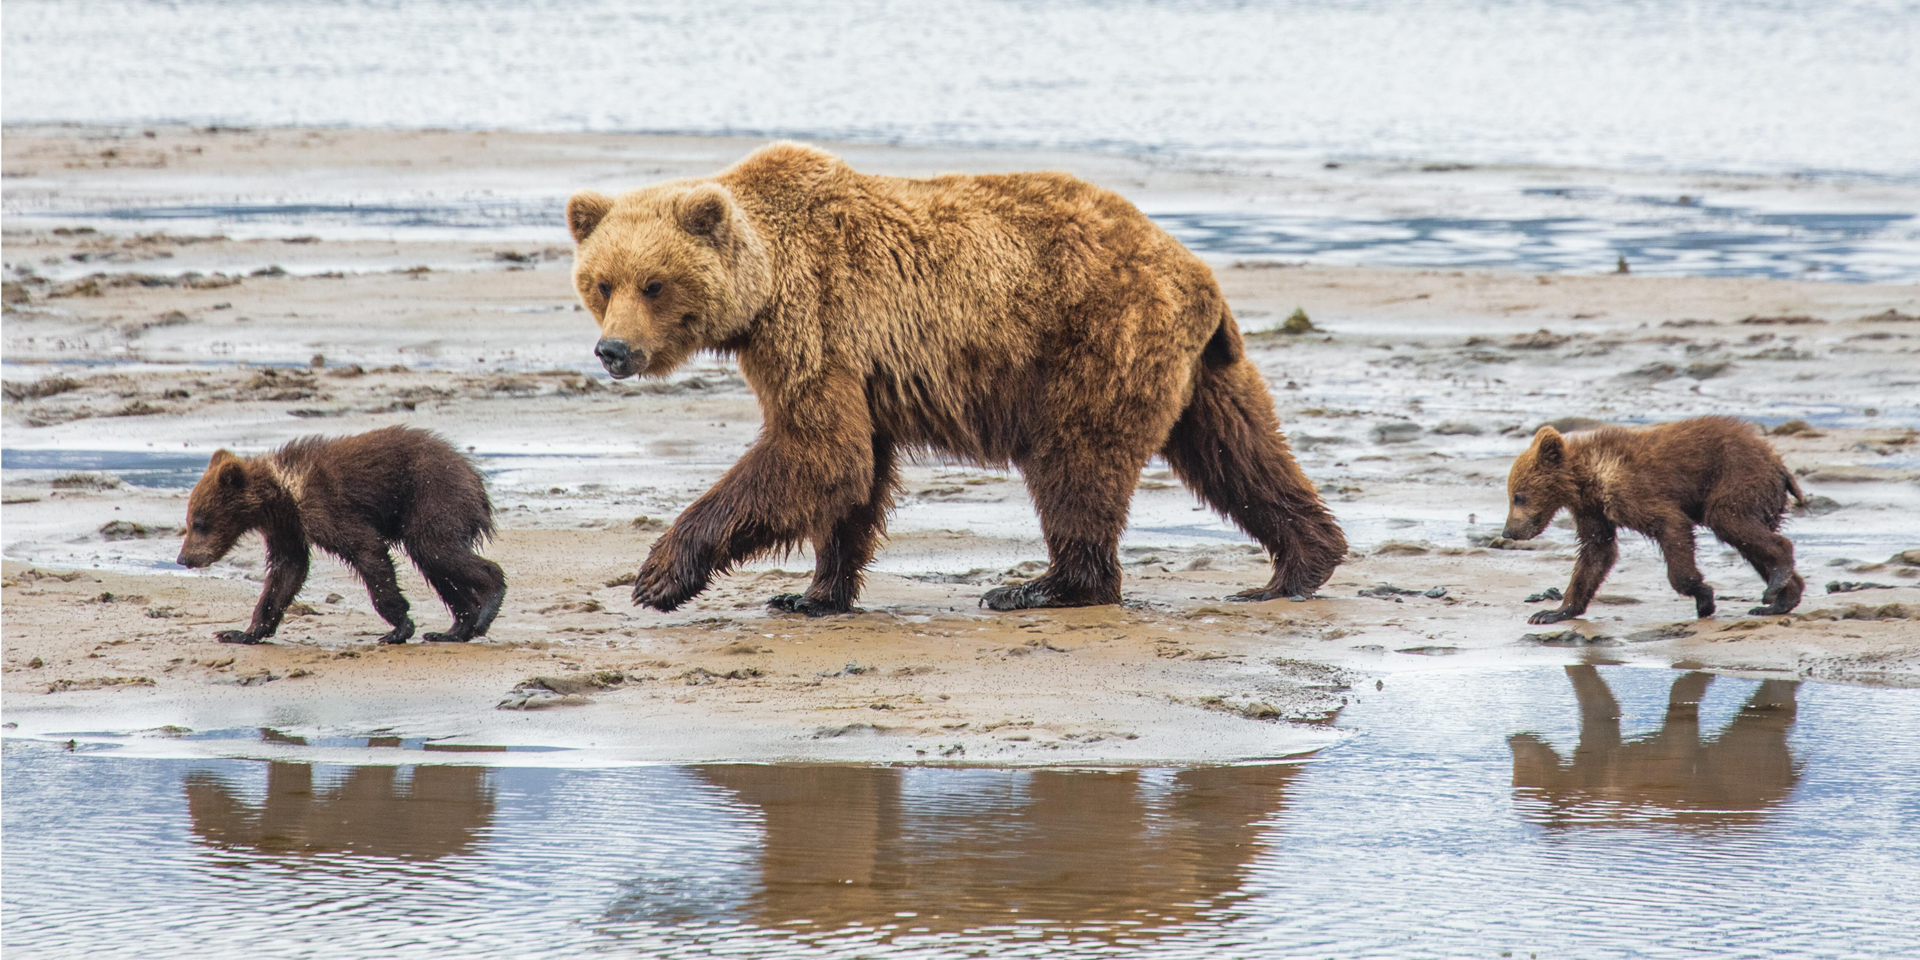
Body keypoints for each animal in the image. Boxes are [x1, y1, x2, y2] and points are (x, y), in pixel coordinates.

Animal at [568, 143, 1344, 614]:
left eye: (654, 283)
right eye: (601, 283)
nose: (614, 350)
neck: (763, 288)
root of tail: (1196, 270)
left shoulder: (815, 325)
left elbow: (817, 452)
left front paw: (659, 574)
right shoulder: (858, 365)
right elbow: (852, 474)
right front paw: (811, 594)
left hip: (1093, 342)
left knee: (1076, 463)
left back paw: (1039, 586)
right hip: (1202, 367)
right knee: (1239, 450)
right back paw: (1298, 565)